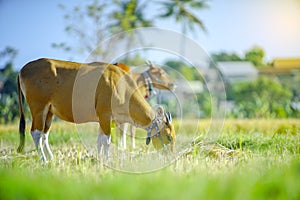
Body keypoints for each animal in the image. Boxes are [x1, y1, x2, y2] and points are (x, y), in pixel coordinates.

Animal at [16, 57, 176, 161]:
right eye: (169, 137)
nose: (172, 157)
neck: (121, 86)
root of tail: (23, 69)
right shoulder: (105, 116)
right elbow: (107, 140)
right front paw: (107, 159)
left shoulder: (104, 119)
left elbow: (100, 140)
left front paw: (100, 160)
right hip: (38, 108)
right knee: (36, 133)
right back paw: (43, 160)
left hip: (49, 111)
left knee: (44, 134)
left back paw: (51, 158)